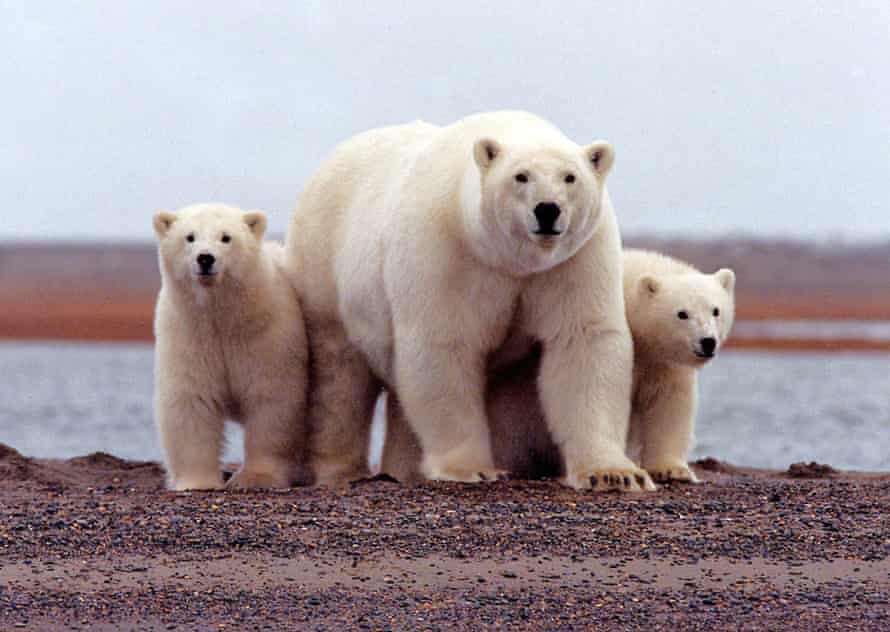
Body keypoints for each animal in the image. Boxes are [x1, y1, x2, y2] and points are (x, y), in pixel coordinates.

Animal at [153, 202, 309, 491]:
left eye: (226, 237)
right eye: (189, 237)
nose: (205, 258)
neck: (223, 318)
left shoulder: (266, 335)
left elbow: (271, 400)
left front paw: (256, 478)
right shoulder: (189, 335)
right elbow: (191, 400)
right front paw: (197, 482)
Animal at [285, 111, 654, 492]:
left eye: (570, 177)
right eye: (521, 176)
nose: (547, 210)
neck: (508, 259)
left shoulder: (574, 260)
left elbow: (583, 341)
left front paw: (614, 473)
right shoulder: (448, 252)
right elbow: (444, 346)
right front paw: (472, 468)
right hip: (324, 269)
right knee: (339, 377)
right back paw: (341, 471)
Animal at [382, 248, 736, 485]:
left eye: (716, 310)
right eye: (682, 313)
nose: (707, 342)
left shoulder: (662, 362)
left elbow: (669, 404)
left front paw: (672, 469)